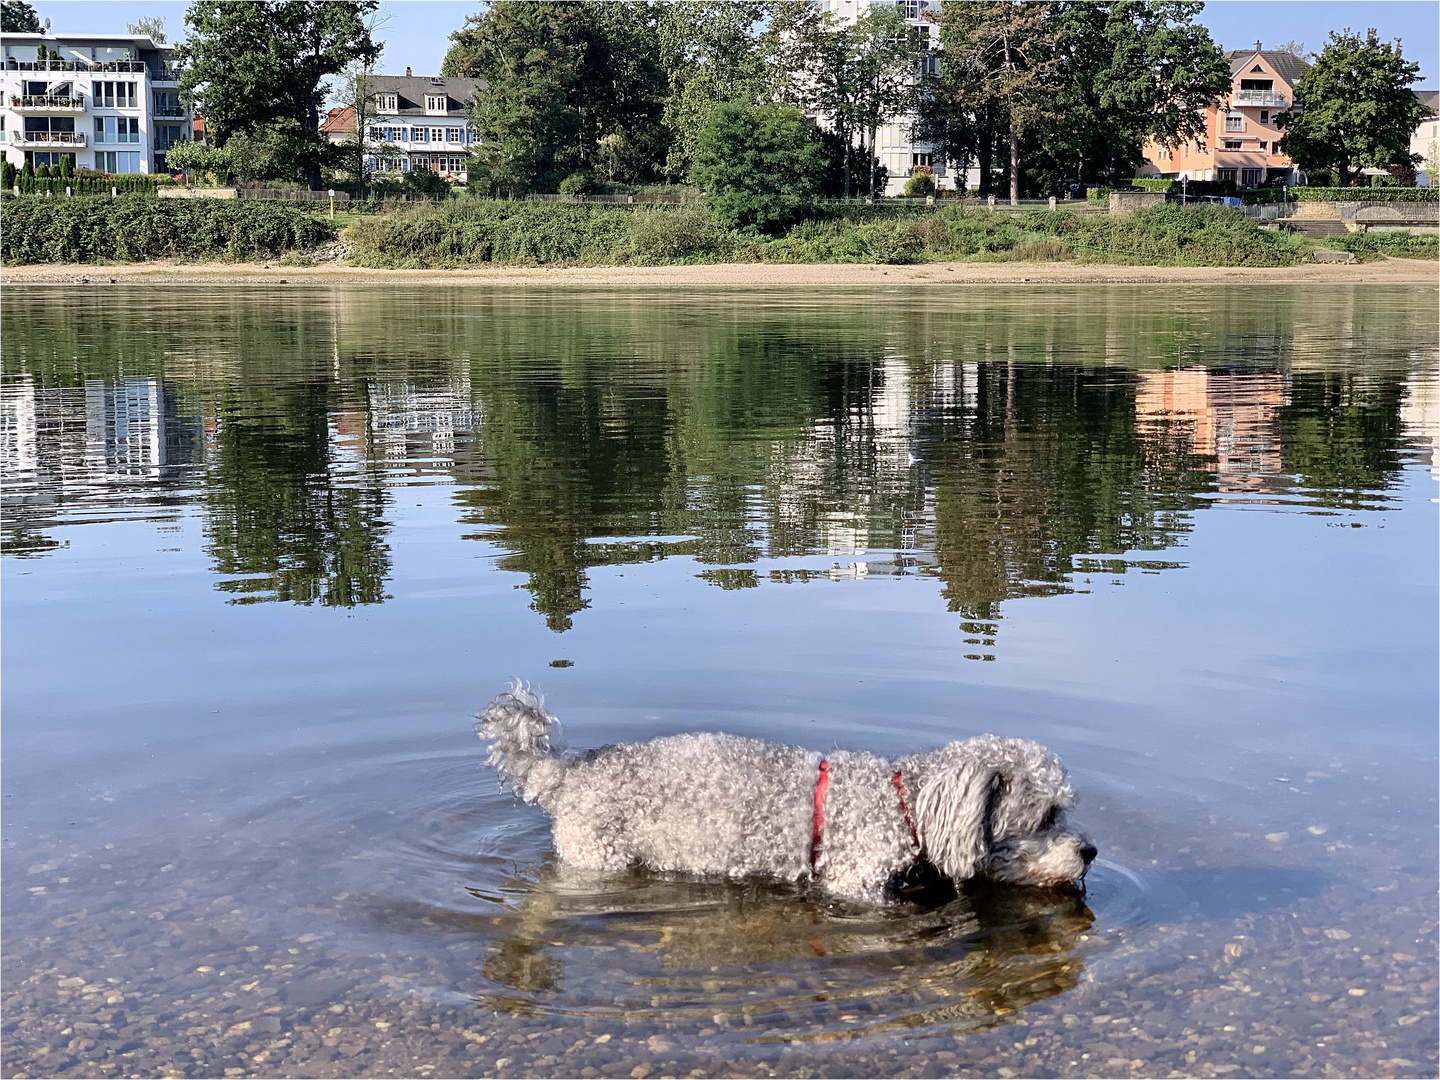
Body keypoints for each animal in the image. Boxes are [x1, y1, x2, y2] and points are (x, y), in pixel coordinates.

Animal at [478, 685, 1094, 904]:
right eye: (1046, 815)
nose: (1089, 851)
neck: (904, 804)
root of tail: (569, 771)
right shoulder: (854, 884)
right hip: (596, 857)